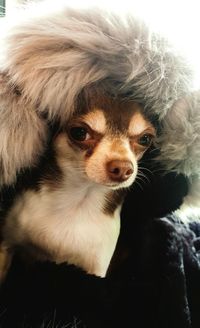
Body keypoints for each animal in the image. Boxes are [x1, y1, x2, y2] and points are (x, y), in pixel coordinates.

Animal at [0, 87, 156, 280]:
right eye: (80, 132)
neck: (78, 201)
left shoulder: (96, 268)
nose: (123, 168)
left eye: (145, 139)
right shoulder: (7, 244)